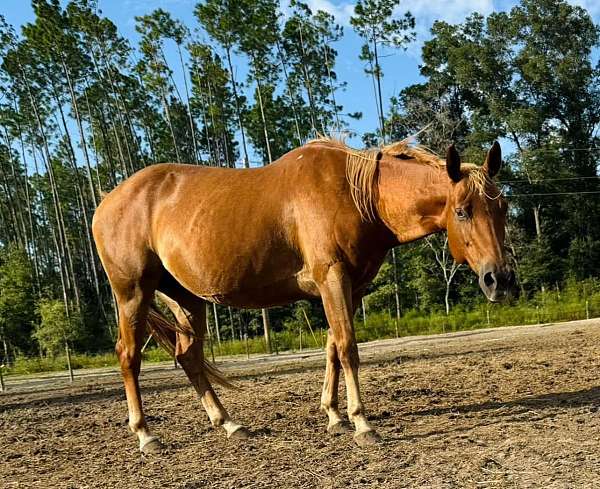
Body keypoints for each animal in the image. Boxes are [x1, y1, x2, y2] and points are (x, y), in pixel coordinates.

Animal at [91, 135, 512, 452]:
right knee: (129, 357)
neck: (356, 195)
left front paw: (334, 416)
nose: (500, 279)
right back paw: (146, 435)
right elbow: (348, 348)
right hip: (133, 293)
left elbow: (332, 350)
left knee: (189, 357)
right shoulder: (333, 278)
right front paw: (362, 424)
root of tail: (107, 201)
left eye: (502, 208)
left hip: (187, 300)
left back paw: (228, 423)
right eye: (462, 210)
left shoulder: (350, 287)